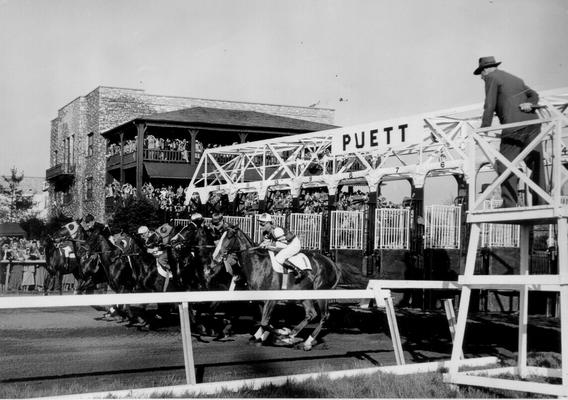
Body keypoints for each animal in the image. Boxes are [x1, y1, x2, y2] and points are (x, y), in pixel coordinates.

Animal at [210, 227, 346, 352]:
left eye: (229, 236)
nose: (215, 257)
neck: (258, 265)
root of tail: (333, 265)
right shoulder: (260, 300)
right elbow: (265, 321)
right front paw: (259, 337)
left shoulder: (271, 299)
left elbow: (265, 322)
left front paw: (282, 332)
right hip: (305, 295)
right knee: (311, 314)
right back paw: (295, 335)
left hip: (321, 293)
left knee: (324, 316)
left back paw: (303, 341)